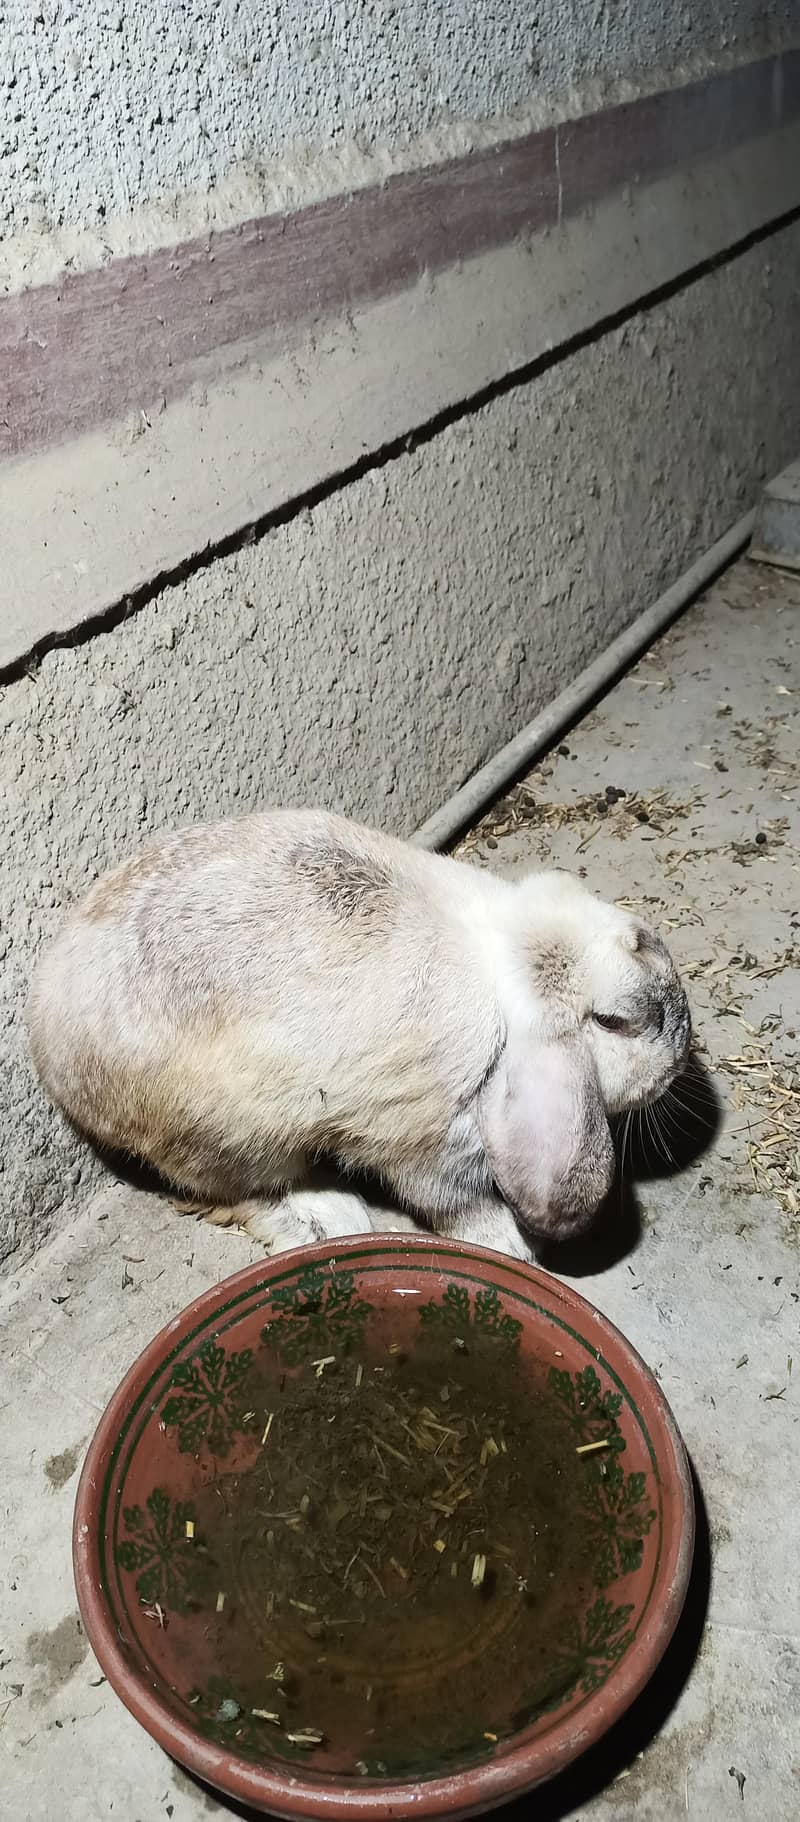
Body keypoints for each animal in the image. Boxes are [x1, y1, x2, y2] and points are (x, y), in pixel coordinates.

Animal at [27, 807, 691, 1262]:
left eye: (644, 939)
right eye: (615, 1021)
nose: (679, 1058)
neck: (503, 961)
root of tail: (48, 1046)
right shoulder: (429, 1138)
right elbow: (456, 1203)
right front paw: (512, 1248)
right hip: (226, 1136)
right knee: (243, 1191)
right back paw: (329, 1218)